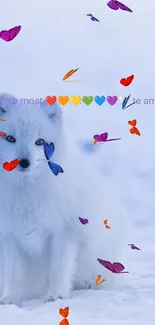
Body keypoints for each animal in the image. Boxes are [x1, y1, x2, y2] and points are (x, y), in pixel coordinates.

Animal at [0, 92, 128, 304]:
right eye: (10, 138)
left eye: (40, 142)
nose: (24, 162)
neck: (28, 192)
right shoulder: (10, 235)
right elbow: (13, 274)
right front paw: (9, 299)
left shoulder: (64, 232)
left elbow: (58, 269)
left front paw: (56, 296)